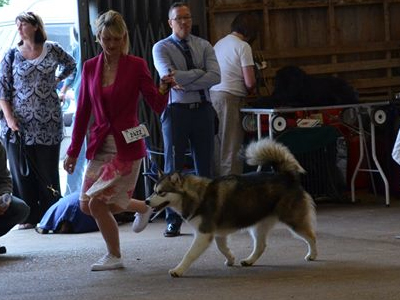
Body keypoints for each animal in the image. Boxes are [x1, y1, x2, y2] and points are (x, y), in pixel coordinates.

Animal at [145, 138, 318, 276]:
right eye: (153, 191)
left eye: (161, 192)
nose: (146, 201)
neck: (196, 196)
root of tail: (285, 176)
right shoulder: (218, 233)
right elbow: (222, 247)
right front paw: (230, 258)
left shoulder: (204, 233)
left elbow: (189, 254)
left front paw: (178, 270)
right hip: (258, 226)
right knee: (261, 246)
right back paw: (249, 260)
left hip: (293, 220)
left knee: (311, 236)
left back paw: (313, 255)